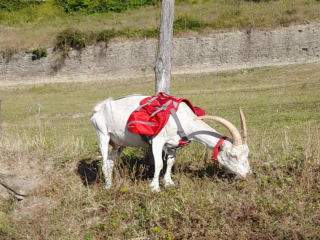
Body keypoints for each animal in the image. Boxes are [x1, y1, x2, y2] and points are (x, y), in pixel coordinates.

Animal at [90, 94, 250, 191]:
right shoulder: (157, 141)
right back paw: (108, 187)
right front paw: (155, 187)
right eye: (233, 155)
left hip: (118, 144)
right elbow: (159, 164)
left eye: (247, 154)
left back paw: (110, 183)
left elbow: (171, 162)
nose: (248, 174)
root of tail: (99, 110)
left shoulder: (173, 144)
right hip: (102, 135)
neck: (182, 117)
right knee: (104, 162)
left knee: (110, 162)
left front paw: (168, 183)